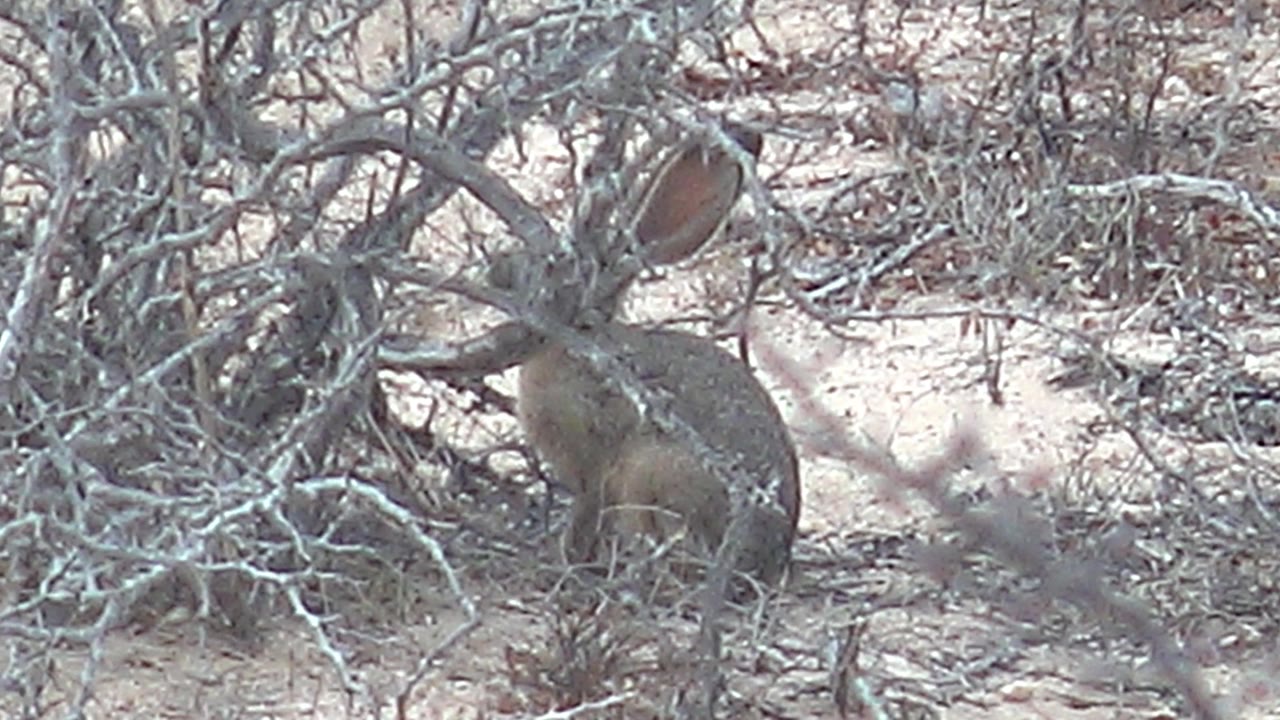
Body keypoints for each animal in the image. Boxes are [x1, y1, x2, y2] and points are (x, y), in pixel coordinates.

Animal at [514, 122, 800, 585]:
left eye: (552, 273)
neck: (583, 339)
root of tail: (758, 565)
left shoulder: (594, 461)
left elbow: (586, 512)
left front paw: (569, 559)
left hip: (652, 472)